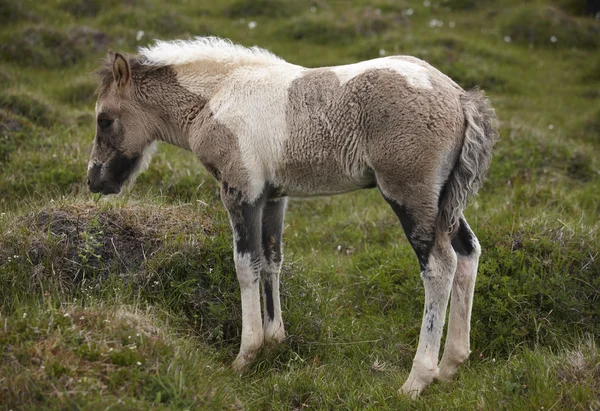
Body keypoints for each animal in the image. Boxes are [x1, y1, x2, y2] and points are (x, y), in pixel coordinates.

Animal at [85, 37, 496, 398]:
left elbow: (246, 264)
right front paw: (274, 340)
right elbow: (272, 261)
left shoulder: (241, 192)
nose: (94, 180)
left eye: (104, 120)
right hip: (445, 204)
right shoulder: (273, 197)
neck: (215, 99)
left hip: (410, 197)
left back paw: (417, 380)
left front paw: (246, 354)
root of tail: (459, 97)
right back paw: (450, 365)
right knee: (468, 253)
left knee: (439, 267)